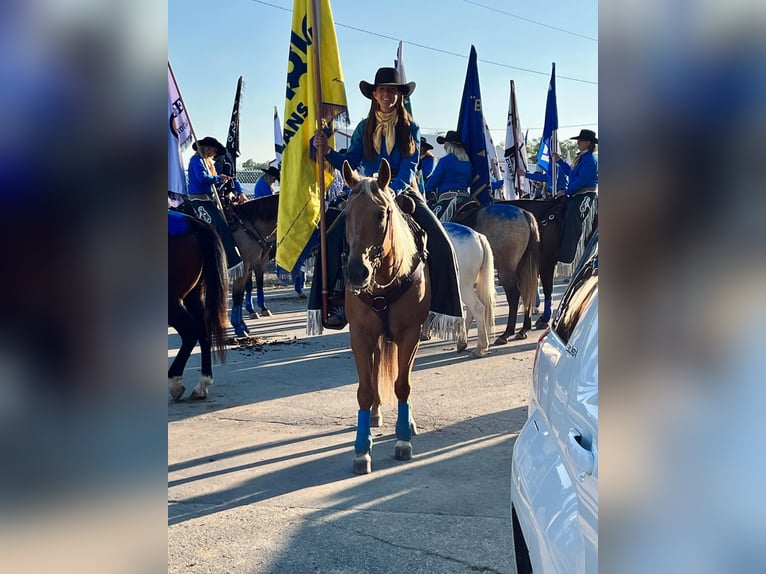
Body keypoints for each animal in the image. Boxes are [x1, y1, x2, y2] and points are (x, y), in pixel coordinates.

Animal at [168, 209, 228, 402]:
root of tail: (193, 222)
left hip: (171, 302)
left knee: (190, 332)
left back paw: (175, 382)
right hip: (193, 296)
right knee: (203, 331)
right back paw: (203, 384)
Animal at [344, 159, 432, 476]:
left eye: (382, 213)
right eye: (346, 213)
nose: (356, 272)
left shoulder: (410, 333)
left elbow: (402, 385)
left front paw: (403, 439)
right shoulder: (360, 335)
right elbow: (364, 391)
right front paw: (361, 449)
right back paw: (374, 415)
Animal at [444, 223, 498, 358]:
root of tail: (477, 235)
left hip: (462, 286)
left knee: (477, 308)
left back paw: (480, 348)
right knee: (470, 310)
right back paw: (462, 342)